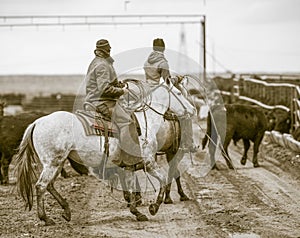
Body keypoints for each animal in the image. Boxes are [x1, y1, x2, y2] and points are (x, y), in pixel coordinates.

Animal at [14, 80, 195, 225]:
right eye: (179, 93)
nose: (193, 109)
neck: (145, 123)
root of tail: (37, 122)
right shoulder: (149, 161)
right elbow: (163, 179)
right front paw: (153, 207)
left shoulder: (128, 167)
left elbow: (130, 189)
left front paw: (137, 212)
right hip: (52, 162)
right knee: (40, 186)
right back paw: (46, 218)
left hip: (58, 162)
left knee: (49, 185)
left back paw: (66, 211)